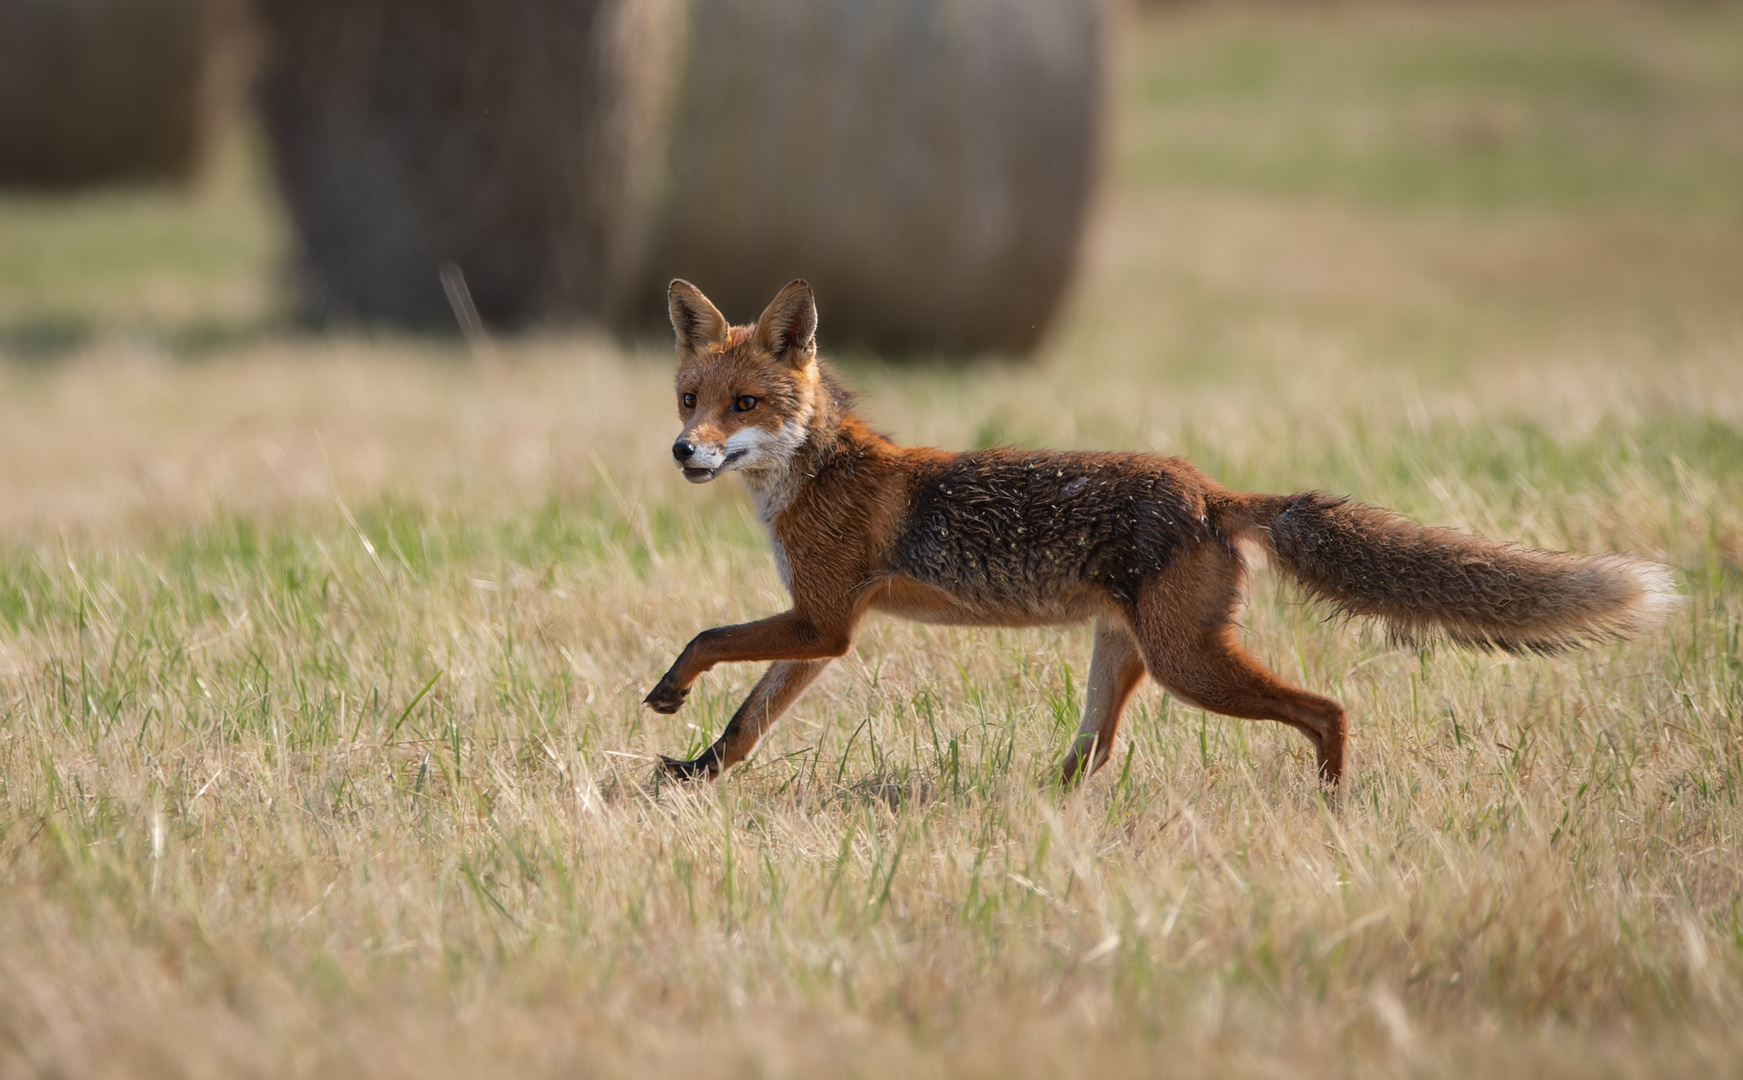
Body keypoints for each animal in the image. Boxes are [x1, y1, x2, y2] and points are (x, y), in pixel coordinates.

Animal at [648, 278, 1680, 783]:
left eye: (744, 406)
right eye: (690, 398)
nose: (683, 452)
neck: (813, 477)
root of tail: (1214, 492)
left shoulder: (822, 622)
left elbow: (705, 638)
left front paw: (667, 693)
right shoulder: (824, 633)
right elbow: (747, 722)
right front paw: (694, 775)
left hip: (1189, 666)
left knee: (1326, 711)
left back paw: (1331, 804)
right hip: (1124, 656)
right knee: (1092, 756)